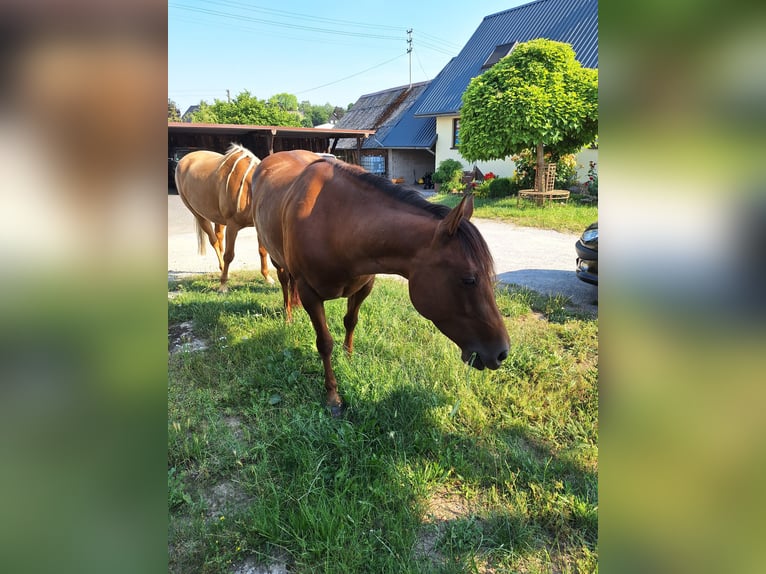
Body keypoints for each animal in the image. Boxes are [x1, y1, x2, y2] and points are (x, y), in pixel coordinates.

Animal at [174, 143, 273, 291]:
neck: (247, 188)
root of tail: (184, 159)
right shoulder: (232, 226)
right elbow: (229, 255)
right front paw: (223, 285)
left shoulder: (257, 227)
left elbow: (262, 251)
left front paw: (267, 278)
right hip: (199, 216)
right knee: (214, 241)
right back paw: (222, 271)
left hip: (218, 218)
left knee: (219, 238)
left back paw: (222, 269)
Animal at [250, 149, 510, 417]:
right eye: (469, 279)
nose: (502, 353)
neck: (337, 224)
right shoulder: (310, 293)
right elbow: (324, 343)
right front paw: (333, 396)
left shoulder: (364, 287)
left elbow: (350, 322)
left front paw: (349, 358)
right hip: (274, 255)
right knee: (285, 281)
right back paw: (289, 315)